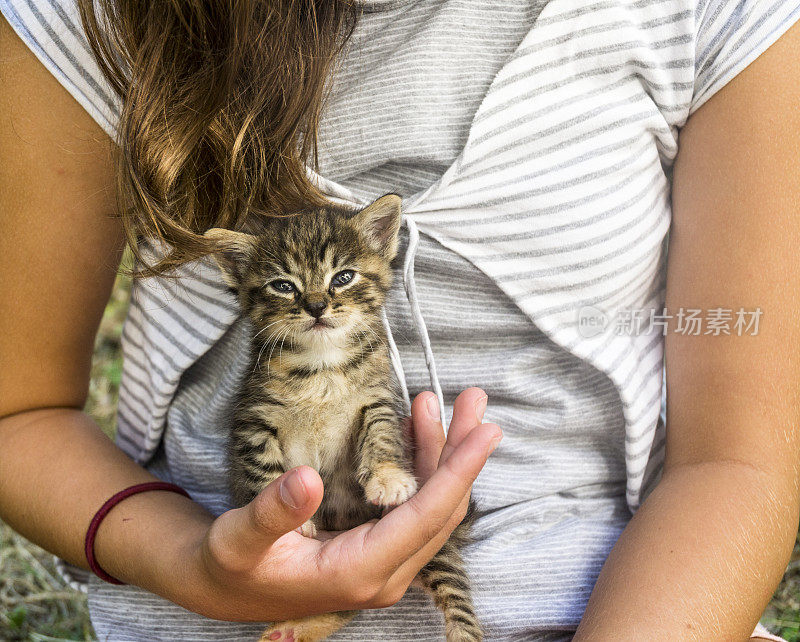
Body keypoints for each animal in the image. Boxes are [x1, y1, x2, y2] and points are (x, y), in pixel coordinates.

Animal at [206, 195, 482, 640]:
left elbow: (381, 433)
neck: (322, 367)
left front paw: (387, 478)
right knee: (342, 601)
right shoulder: (254, 417)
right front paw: (288, 521)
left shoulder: (377, 398)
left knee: (455, 594)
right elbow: (263, 466)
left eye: (343, 277)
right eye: (284, 285)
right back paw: (297, 627)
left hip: (437, 552)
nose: (317, 306)